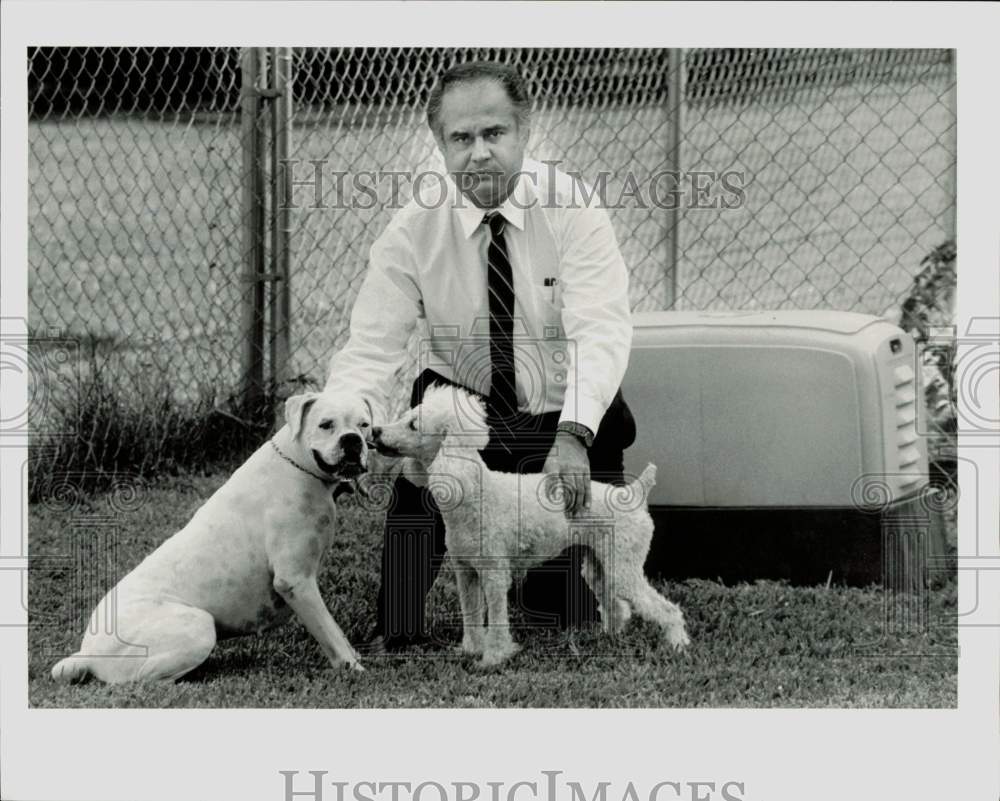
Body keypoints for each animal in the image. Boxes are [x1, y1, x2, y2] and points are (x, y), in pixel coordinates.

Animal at [51, 390, 372, 684]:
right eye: (326, 424)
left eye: (364, 425)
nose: (352, 440)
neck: (298, 464)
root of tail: (88, 654)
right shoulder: (295, 582)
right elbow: (330, 633)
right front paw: (352, 667)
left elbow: (336, 632)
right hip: (199, 624)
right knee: (144, 679)